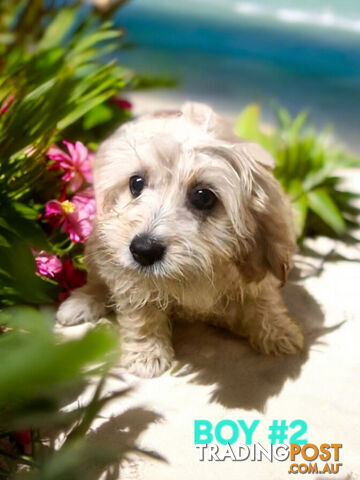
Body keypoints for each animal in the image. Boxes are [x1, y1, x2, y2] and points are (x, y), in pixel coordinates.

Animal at [57, 102, 304, 378]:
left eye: (203, 196)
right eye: (136, 183)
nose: (143, 250)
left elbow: (264, 300)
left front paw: (279, 332)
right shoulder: (131, 272)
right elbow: (142, 311)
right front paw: (147, 353)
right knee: (98, 279)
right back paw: (81, 302)